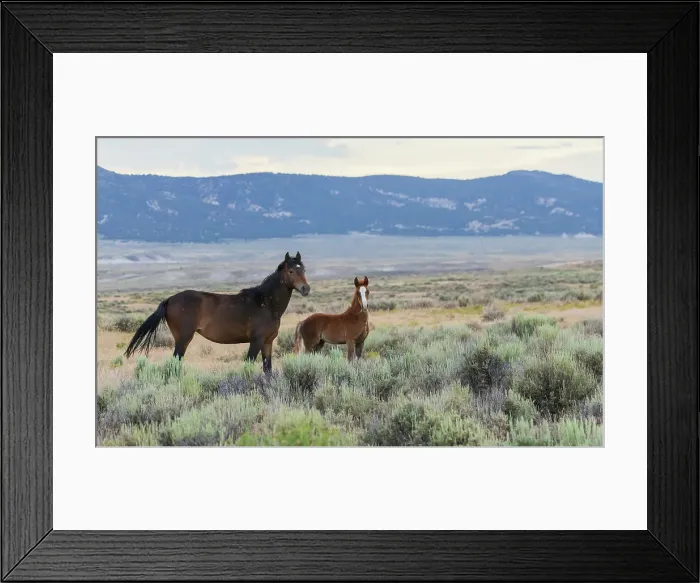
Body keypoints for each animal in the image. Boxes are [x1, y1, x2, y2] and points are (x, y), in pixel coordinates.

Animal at [124, 252, 311, 374]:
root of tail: (169, 299)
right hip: (183, 339)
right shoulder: (256, 341)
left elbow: (267, 369)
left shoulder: (268, 342)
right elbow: (249, 364)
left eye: (304, 270)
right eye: (291, 271)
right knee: (175, 362)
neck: (266, 303)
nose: (305, 289)